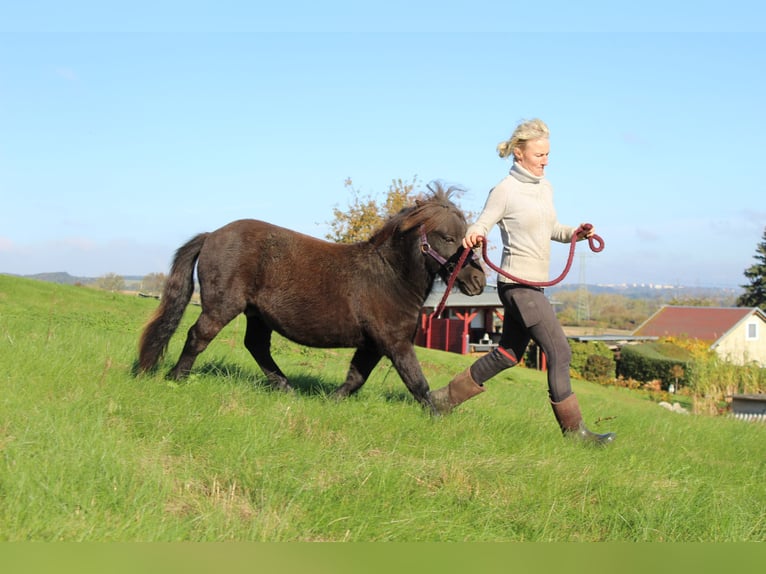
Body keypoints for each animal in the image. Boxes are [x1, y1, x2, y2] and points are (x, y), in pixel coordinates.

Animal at [138, 186, 486, 414]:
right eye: (448, 237)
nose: (478, 281)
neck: (389, 277)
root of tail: (211, 236)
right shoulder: (394, 341)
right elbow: (416, 381)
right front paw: (438, 416)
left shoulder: (373, 344)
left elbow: (356, 377)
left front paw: (328, 402)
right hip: (223, 306)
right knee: (199, 336)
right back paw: (176, 378)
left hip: (256, 314)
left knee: (257, 346)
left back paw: (286, 389)